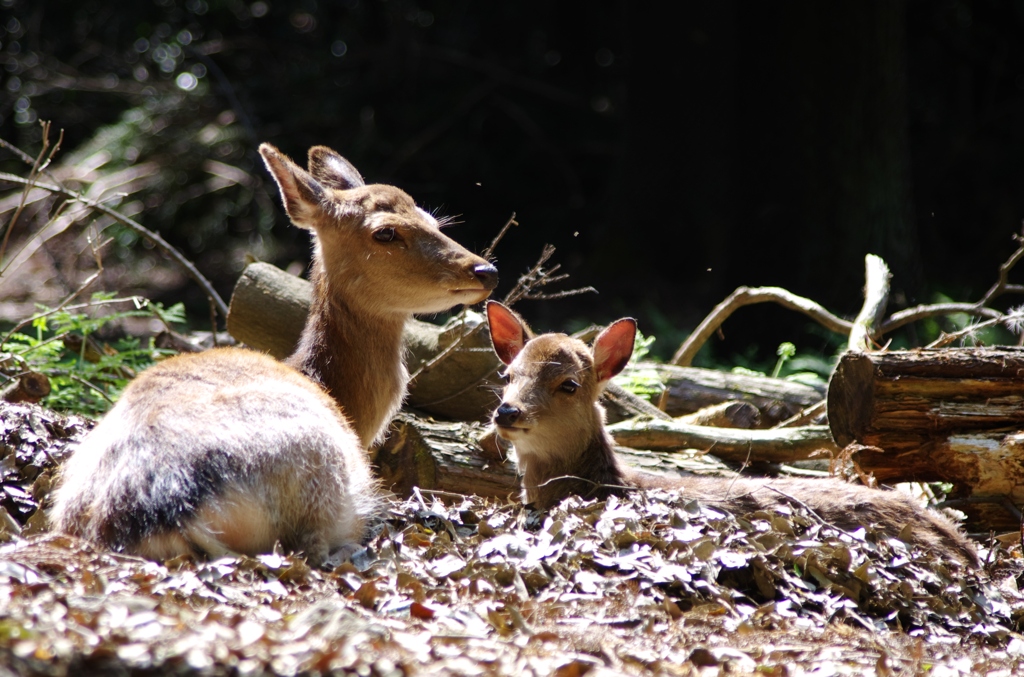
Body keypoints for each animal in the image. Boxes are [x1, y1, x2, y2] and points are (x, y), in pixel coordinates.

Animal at [49, 144, 497, 565]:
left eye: (433, 221)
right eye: (385, 233)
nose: (485, 270)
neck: (329, 388)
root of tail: (161, 511)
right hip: (323, 482)